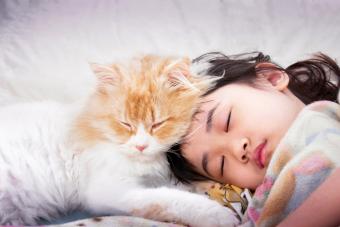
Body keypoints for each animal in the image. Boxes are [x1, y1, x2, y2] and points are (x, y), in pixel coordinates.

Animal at [0, 55, 238, 227]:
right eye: (125, 124)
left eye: (157, 124)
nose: (141, 146)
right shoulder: (110, 190)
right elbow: (168, 198)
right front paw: (220, 215)